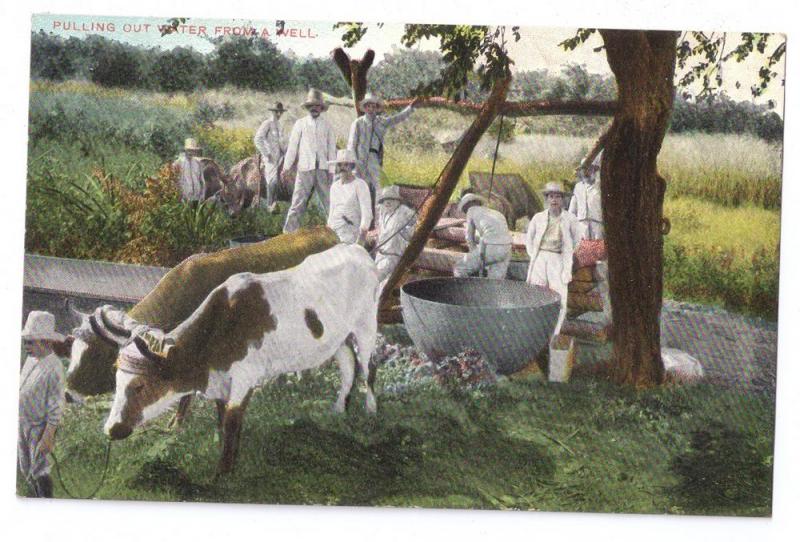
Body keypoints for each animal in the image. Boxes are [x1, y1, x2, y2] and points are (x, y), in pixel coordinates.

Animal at [102, 244, 378, 474]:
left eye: (140, 386)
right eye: (116, 381)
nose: (110, 429)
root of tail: (356, 249)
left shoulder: (245, 378)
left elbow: (232, 421)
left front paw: (224, 472)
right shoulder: (222, 380)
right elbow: (222, 419)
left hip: (366, 325)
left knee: (368, 366)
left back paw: (371, 411)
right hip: (336, 338)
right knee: (348, 363)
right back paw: (339, 410)